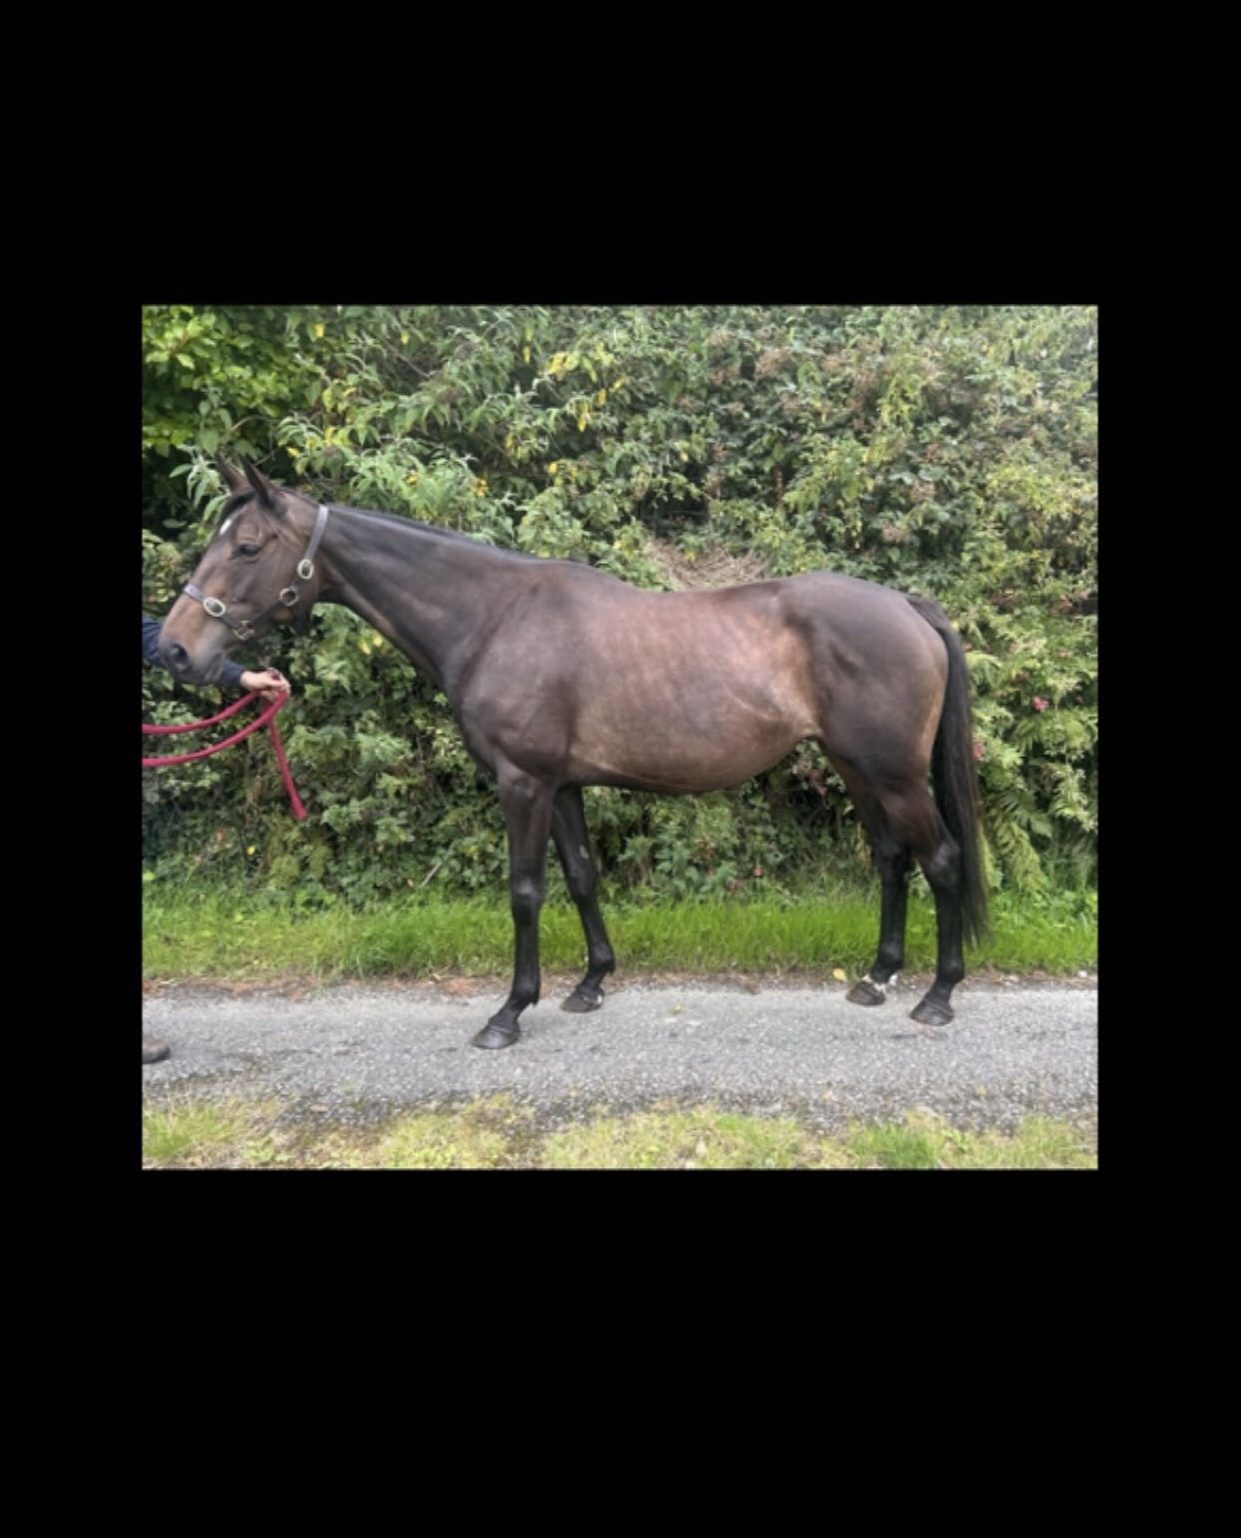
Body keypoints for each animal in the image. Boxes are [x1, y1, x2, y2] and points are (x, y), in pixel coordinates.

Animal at [156, 457, 987, 1049]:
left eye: (248, 546)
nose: (174, 649)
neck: (494, 618)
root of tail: (905, 604)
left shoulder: (521, 783)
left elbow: (525, 892)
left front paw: (507, 1014)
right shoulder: (561, 786)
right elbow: (583, 877)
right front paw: (589, 985)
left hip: (893, 774)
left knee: (942, 860)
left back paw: (937, 997)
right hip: (857, 768)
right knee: (892, 858)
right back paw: (876, 977)